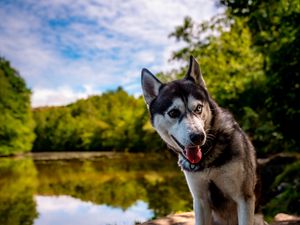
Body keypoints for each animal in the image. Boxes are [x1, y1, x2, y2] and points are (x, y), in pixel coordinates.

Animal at [142, 56, 258, 225]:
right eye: (173, 113)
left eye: (198, 108)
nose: (198, 136)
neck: (208, 159)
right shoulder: (200, 200)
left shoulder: (244, 198)